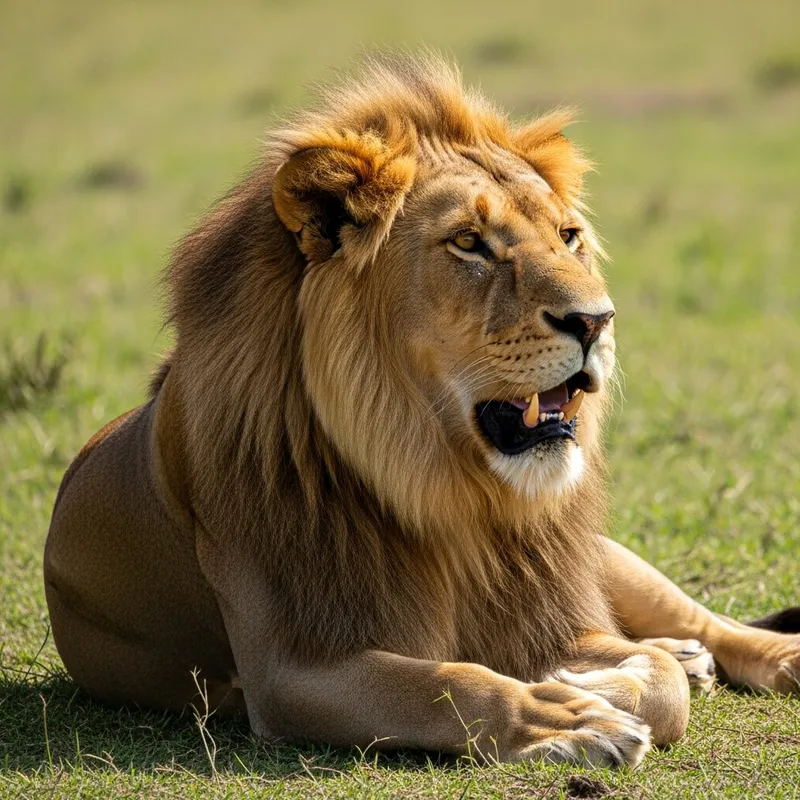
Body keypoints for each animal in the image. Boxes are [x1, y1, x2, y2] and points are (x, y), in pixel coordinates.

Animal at [43, 54, 800, 768]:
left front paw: (591, 681)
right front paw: (567, 715)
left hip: (608, 558)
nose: (596, 321)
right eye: (468, 242)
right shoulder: (290, 671)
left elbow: (658, 681)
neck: (452, 493)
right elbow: (455, 681)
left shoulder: (552, 609)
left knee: (703, 623)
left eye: (569, 236)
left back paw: (745, 656)